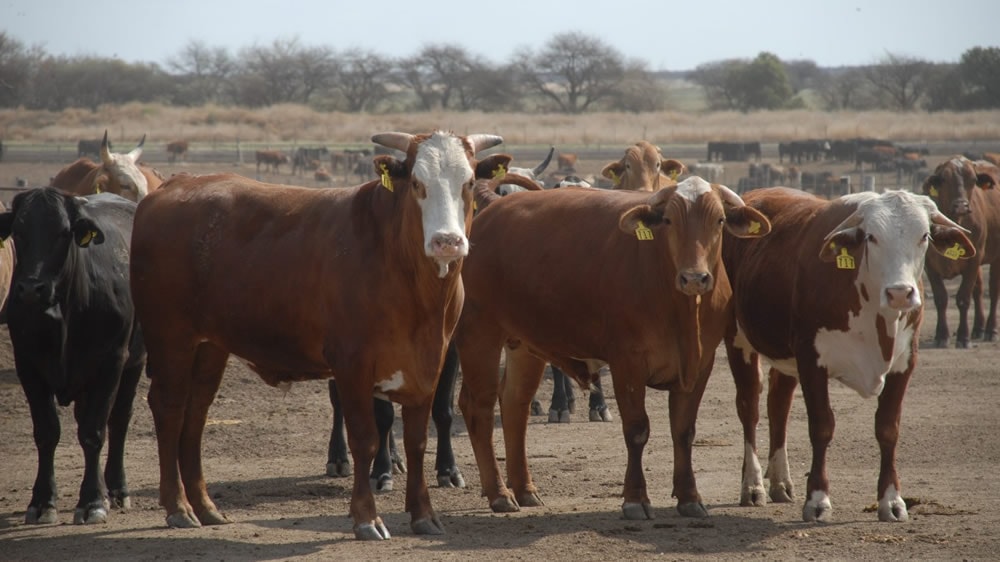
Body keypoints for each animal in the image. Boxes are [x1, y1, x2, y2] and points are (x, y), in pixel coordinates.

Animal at [0, 188, 146, 524]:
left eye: (63, 233)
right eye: (19, 231)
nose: (32, 289)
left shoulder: (111, 363)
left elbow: (94, 431)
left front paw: (92, 501)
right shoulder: (28, 367)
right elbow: (46, 432)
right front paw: (42, 502)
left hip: (135, 362)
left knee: (118, 420)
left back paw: (116, 489)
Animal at [129, 130, 508, 540]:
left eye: (467, 183)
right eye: (417, 184)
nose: (447, 241)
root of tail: (176, 184)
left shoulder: (429, 362)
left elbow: (417, 440)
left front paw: (423, 513)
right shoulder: (353, 364)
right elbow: (365, 439)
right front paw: (366, 518)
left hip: (209, 345)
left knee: (195, 413)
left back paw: (204, 506)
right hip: (170, 335)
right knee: (169, 407)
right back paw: (178, 506)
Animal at [454, 177, 772, 520]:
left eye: (720, 220)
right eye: (669, 220)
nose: (694, 278)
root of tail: (492, 210)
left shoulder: (701, 365)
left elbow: (684, 431)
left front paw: (689, 497)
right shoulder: (627, 364)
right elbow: (636, 429)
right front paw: (635, 499)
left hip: (523, 345)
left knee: (515, 405)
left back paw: (525, 489)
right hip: (479, 335)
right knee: (479, 407)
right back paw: (499, 493)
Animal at [724, 187, 972, 520]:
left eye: (924, 236)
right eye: (871, 237)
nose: (900, 293)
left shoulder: (904, 363)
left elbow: (888, 429)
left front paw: (891, 501)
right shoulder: (811, 360)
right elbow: (822, 426)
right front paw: (817, 500)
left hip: (786, 360)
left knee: (778, 407)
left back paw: (780, 483)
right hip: (738, 339)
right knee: (749, 407)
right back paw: (753, 486)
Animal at [920, 154, 1000, 346]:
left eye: (973, 180)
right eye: (944, 179)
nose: (961, 206)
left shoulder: (973, 260)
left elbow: (963, 298)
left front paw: (963, 337)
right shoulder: (930, 265)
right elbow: (941, 298)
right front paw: (941, 336)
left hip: (995, 259)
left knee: (994, 292)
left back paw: (990, 330)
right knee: (978, 291)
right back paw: (978, 329)